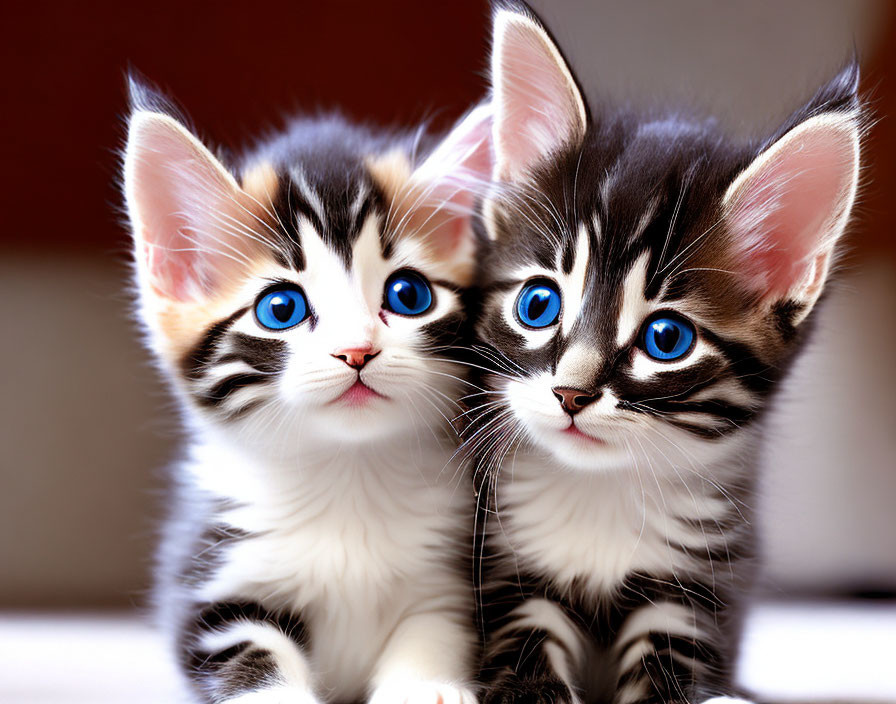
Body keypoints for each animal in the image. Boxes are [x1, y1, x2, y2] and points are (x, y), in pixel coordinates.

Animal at [121, 78, 490, 704]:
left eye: (409, 294)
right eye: (281, 308)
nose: (358, 350)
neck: (346, 478)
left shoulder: (451, 576)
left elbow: (433, 629)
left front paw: (424, 687)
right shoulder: (210, 577)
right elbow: (251, 658)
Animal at [468, 5, 860, 704]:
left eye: (666, 340)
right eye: (538, 304)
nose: (570, 393)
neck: (600, 495)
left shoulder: (699, 589)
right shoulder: (507, 572)